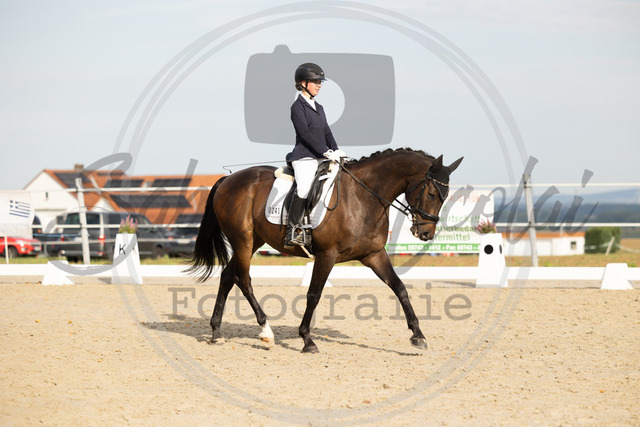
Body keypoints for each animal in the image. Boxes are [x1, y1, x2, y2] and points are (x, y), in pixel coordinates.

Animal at [188, 148, 463, 353]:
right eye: (431, 193)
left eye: (445, 195)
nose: (426, 234)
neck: (363, 196)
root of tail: (228, 179)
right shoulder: (327, 254)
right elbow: (314, 294)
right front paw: (307, 340)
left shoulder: (373, 255)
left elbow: (400, 288)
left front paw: (418, 335)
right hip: (243, 240)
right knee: (243, 280)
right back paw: (266, 332)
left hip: (253, 241)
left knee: (227, 276)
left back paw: (216, 332)